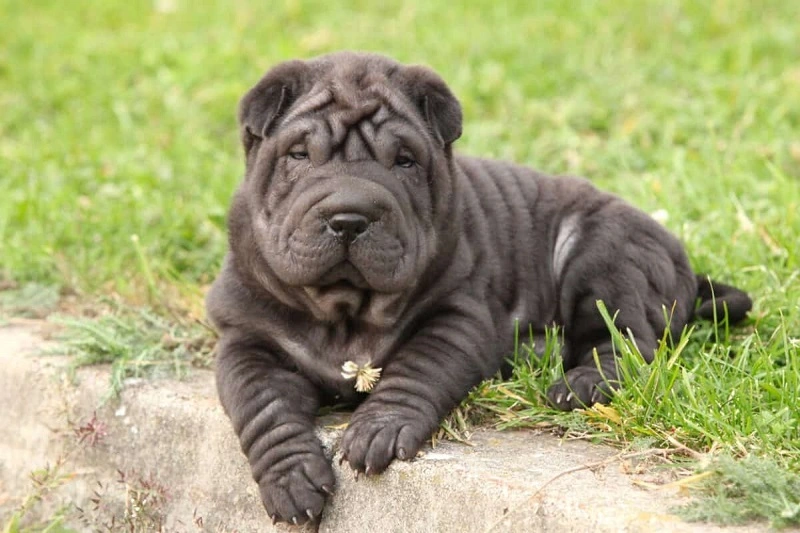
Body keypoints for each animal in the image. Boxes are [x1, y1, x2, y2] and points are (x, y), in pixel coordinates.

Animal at [205, 51, 752, 524]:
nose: (349, 216)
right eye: (299, 155)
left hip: (605, 259)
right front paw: (291, 479)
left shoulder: (457, 316)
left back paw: (581, 383)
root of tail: (680, 260)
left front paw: (379, 427)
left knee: (627, 339)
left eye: (404, 161)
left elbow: (418, 368)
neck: (345, 309)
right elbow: (264, 407)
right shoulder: (247, 339)